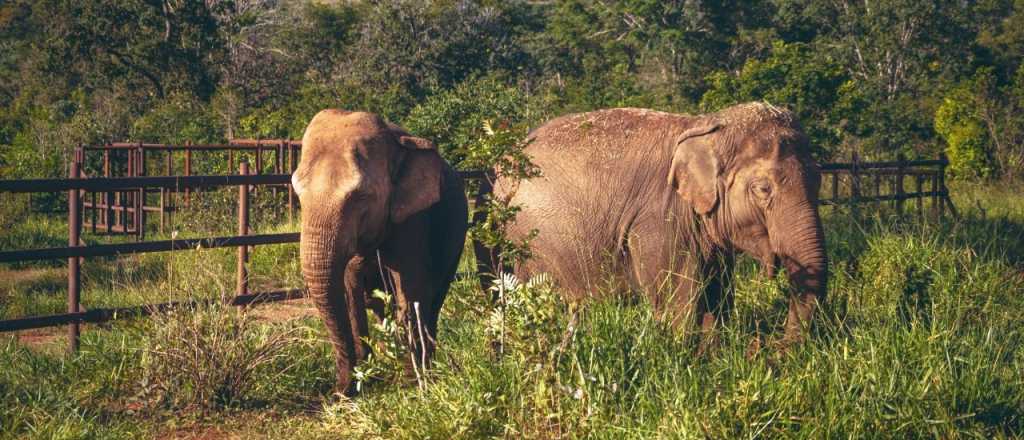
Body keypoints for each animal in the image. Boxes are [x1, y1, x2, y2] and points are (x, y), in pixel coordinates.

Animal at [292, 110, 468, 394]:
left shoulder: (413, 219)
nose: (337, 391)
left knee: (434, 299)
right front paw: (363, 380)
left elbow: (411, 289)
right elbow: (351, 288)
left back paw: (424, 365)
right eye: (298, 195)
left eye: (360, 197)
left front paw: (410, 382)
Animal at [489, 102, 831, 343]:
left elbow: (717, 294)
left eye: (819, 181)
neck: (706, 126)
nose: (775, 350)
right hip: (525, 242)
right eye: (763, 189)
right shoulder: (659, 220)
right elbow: (678, 301)